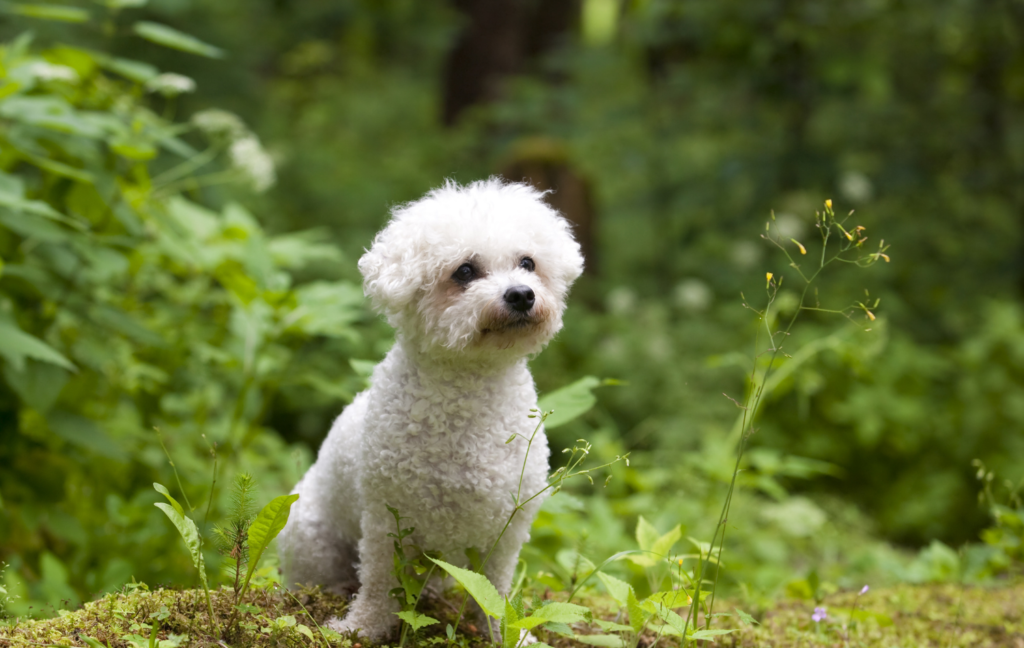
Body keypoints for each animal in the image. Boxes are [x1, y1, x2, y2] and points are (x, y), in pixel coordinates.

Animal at [278, 176, 585, 638]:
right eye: (465, 271)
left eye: (528, 263)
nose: (521, 294)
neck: (469, 390)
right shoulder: (385, 521)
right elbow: (379, 581)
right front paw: (362, 628)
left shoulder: (507, 531)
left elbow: (494, 591)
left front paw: (507, 634)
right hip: (310, 535)